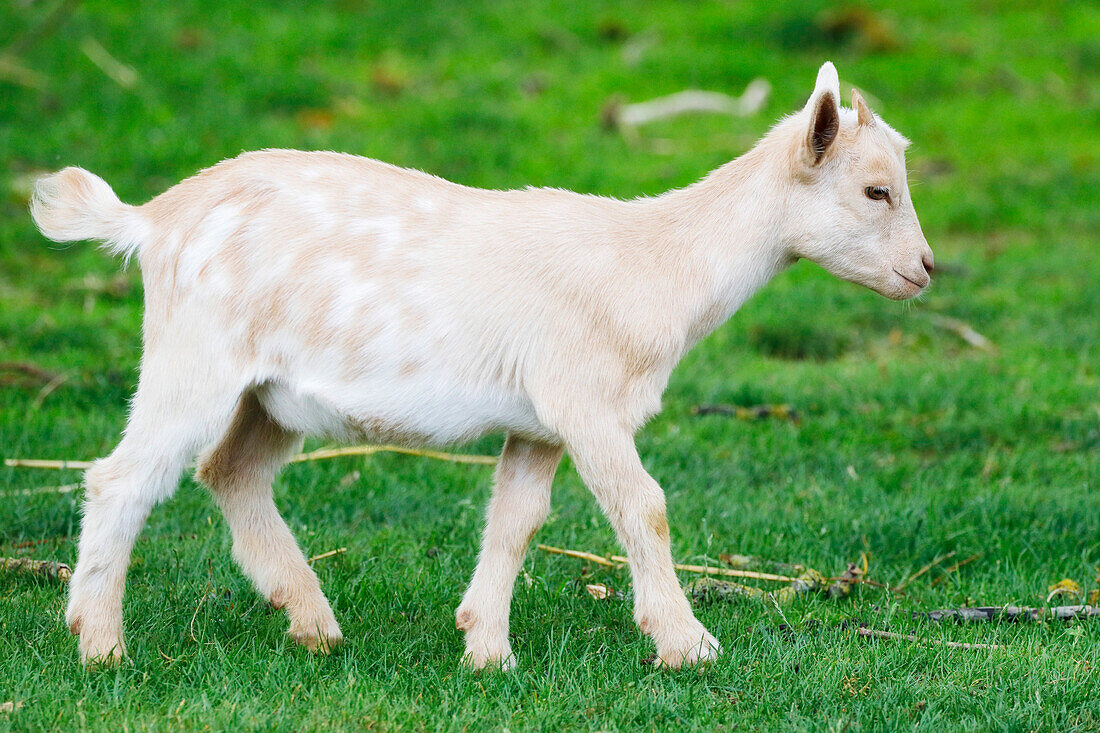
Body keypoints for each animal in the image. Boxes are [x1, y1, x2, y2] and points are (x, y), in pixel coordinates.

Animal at [30, 62, 932, 664]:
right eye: (876, 190)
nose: (925, 269)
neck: (656, 264)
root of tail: (151, 219)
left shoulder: (540, 421)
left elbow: (516, 518)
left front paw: (486, 649)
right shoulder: (583, 397)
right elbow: (644, 505)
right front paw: (686, 641)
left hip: (269, 393)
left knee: (231, 471)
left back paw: (312, 621)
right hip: (196, 357)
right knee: (122, 477)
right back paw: (100, 644)